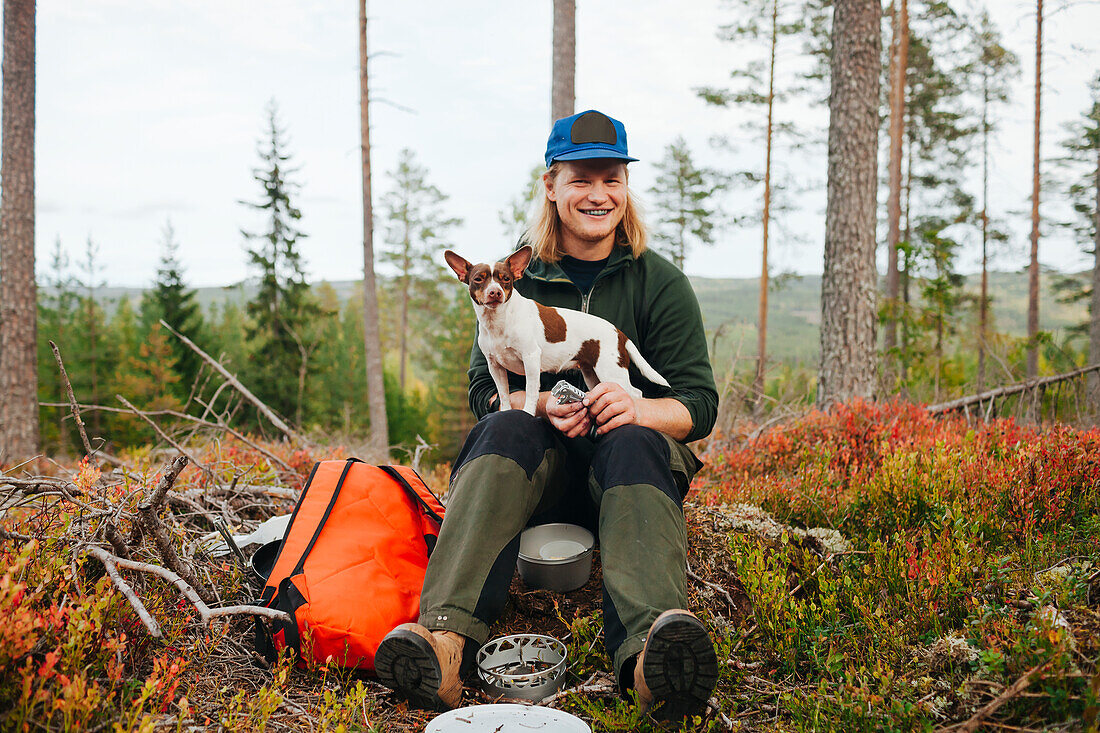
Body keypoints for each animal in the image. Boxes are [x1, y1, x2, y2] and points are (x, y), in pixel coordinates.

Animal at [440, 245, 668, 413]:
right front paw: (505, 411)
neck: (500, 320)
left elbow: (531, 391)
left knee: (635, 393)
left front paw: (528, 413)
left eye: (506, 280)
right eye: (478, 279)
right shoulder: (495, 366)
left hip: (610, 370)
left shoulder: (531, 358)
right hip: (592, 374)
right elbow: (504, 394)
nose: (495, 292)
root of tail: (620, 334)